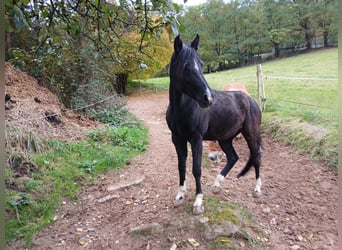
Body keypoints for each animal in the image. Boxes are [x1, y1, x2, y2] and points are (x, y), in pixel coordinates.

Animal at [167, 34, 264, 215]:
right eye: (186, 67)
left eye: (201, 64)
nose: (208, 98)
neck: (182, 109)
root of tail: (252, 101)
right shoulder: (177, 139)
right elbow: (181, 167)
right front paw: (180, 195)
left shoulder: (196, 139)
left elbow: (196, 169)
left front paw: (198, 202)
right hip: (225, 138)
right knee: (233, 157)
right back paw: (217, 184)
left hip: (251, 134)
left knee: (256, 156)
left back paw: (257, 189)